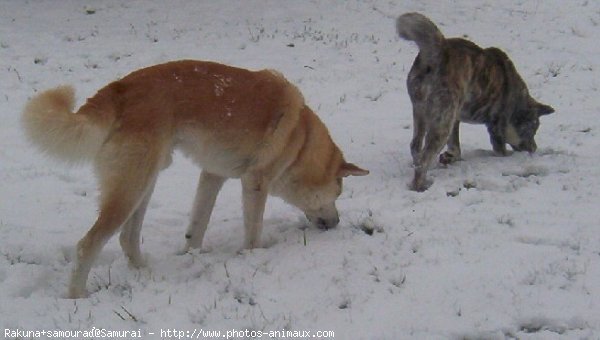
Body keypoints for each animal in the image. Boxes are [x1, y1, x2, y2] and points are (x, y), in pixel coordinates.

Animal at [23, 60, 368, 298]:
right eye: (338, 194)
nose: (336, 223)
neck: (301, 139)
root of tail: (120, 88)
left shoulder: (212, 175)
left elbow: (197, 225)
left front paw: (192, 256)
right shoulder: (255, 183)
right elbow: (252, 232)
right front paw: (253, 256)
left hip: (145, 181)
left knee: (127, 238)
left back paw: (146, 273)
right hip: (131, 188)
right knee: (88, 244)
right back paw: (77, 296)